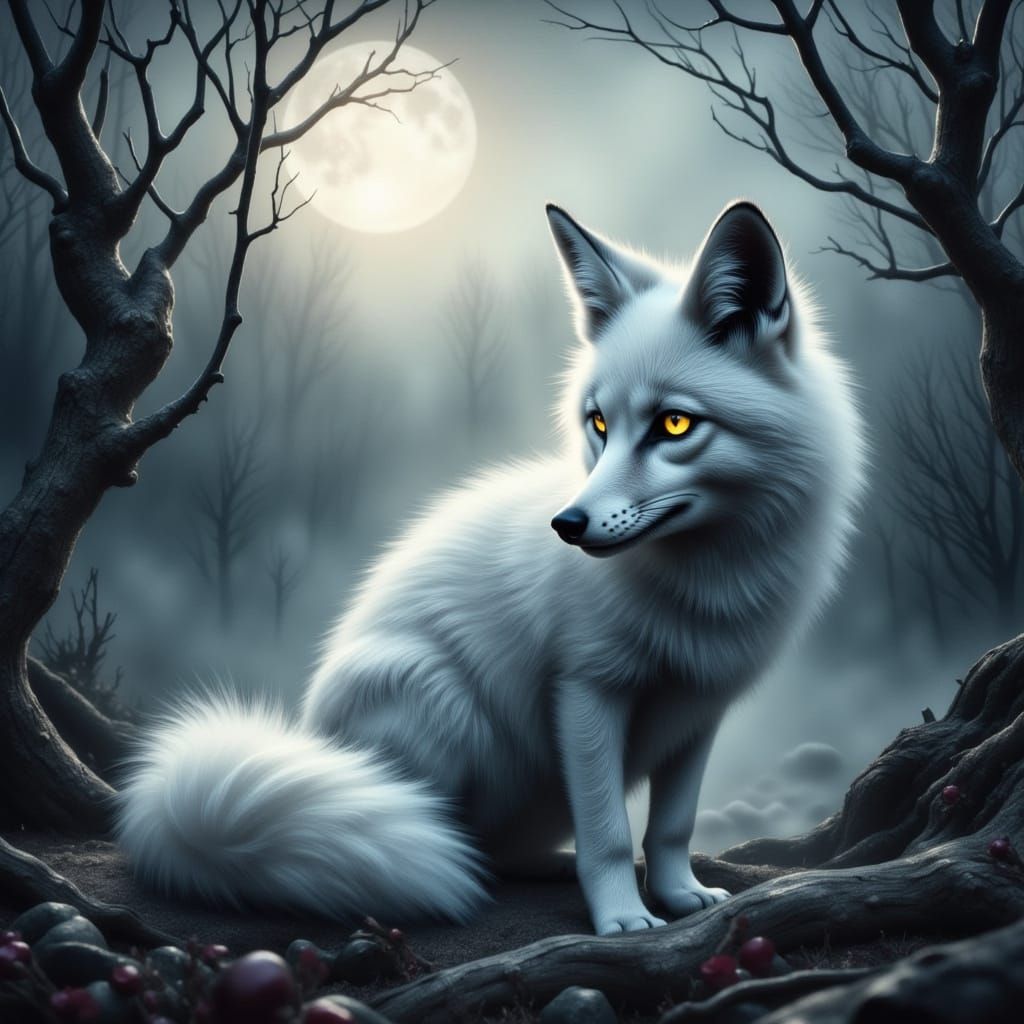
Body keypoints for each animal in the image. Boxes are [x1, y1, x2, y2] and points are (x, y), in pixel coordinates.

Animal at [117, 201, 864, 936]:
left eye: (674, 425)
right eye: (598, 423)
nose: (567, 525)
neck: (708, 581)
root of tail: (313, 737)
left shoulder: (698, 710)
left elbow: (672, 827)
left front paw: (681, 897)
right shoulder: (586, 692)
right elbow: (610, 834)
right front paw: (623, 919)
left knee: (495, 847)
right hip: (443, 705)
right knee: (434, 831)